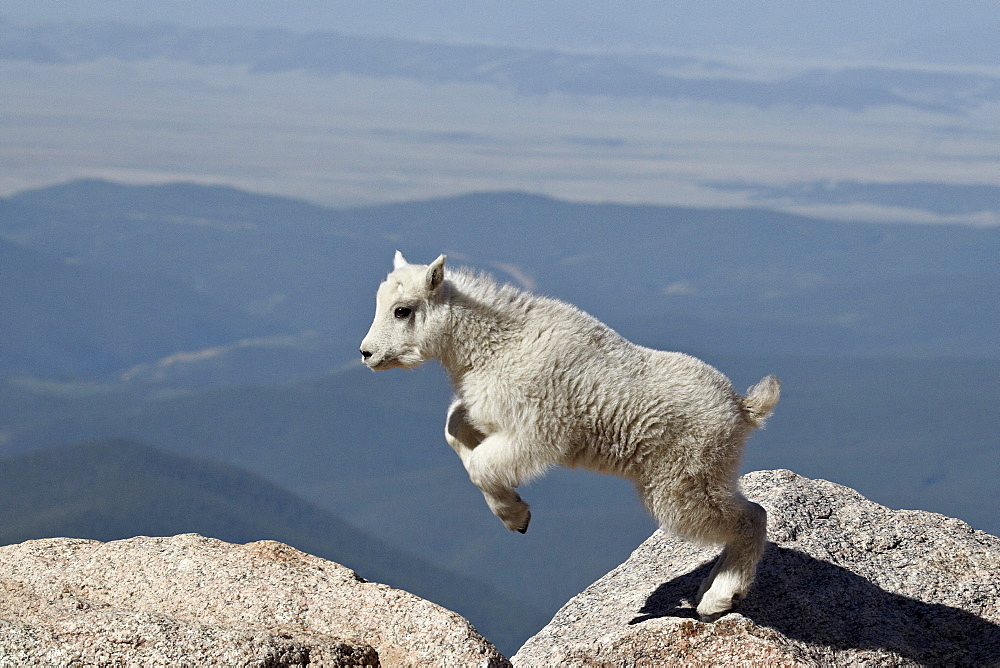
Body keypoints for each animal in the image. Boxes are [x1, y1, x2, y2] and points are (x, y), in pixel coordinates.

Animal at [360, 252, 780, 620]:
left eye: (402, 310)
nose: (366, 353)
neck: (492, 344)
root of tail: (743, 409)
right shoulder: (490, 410)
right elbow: (454, 429)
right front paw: (510, 500)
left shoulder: (538, 429)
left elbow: (482, 463)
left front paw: (516, 515)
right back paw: (710, 587)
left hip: (682, 479)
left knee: (749, 516)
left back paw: (720, 597)